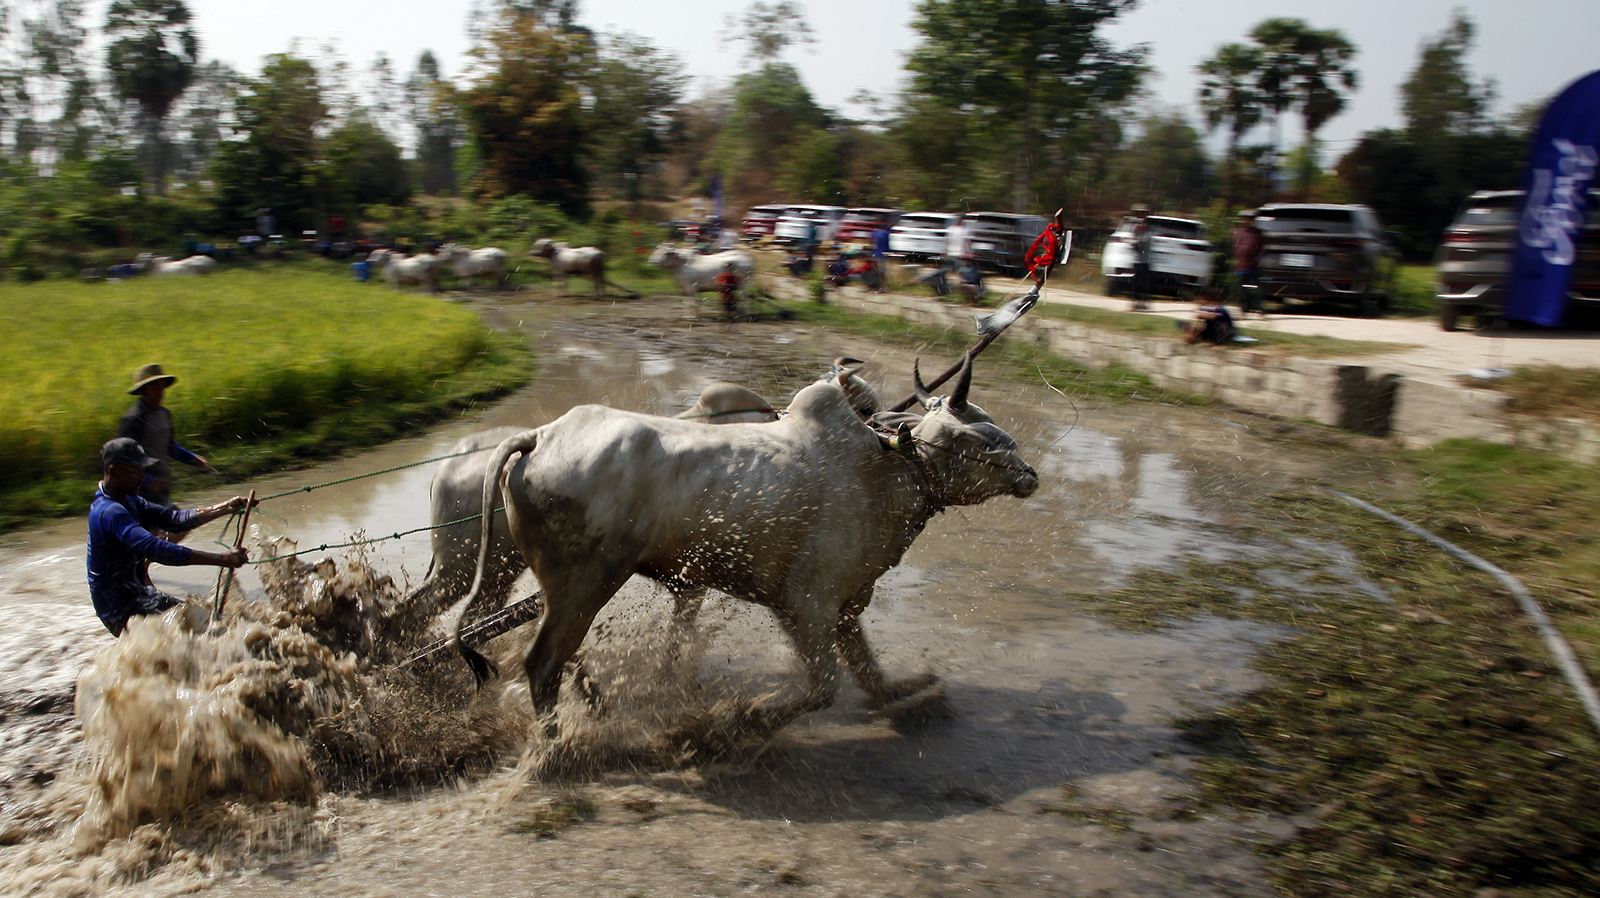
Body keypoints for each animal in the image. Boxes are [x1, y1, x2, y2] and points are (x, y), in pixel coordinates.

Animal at [452, 357, 1038, 737]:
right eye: (970, 436)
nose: (1029, 475)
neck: (884, 472)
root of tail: (540, 436)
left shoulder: (844, 606)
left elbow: (873, 677)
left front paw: (920, 688)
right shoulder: (809, 602)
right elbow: (825, 686)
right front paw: (744, 717)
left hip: (572, 591)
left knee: (553, 656)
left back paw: (590, 707)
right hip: (587, 583)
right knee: (541, 664)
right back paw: (560, 750)